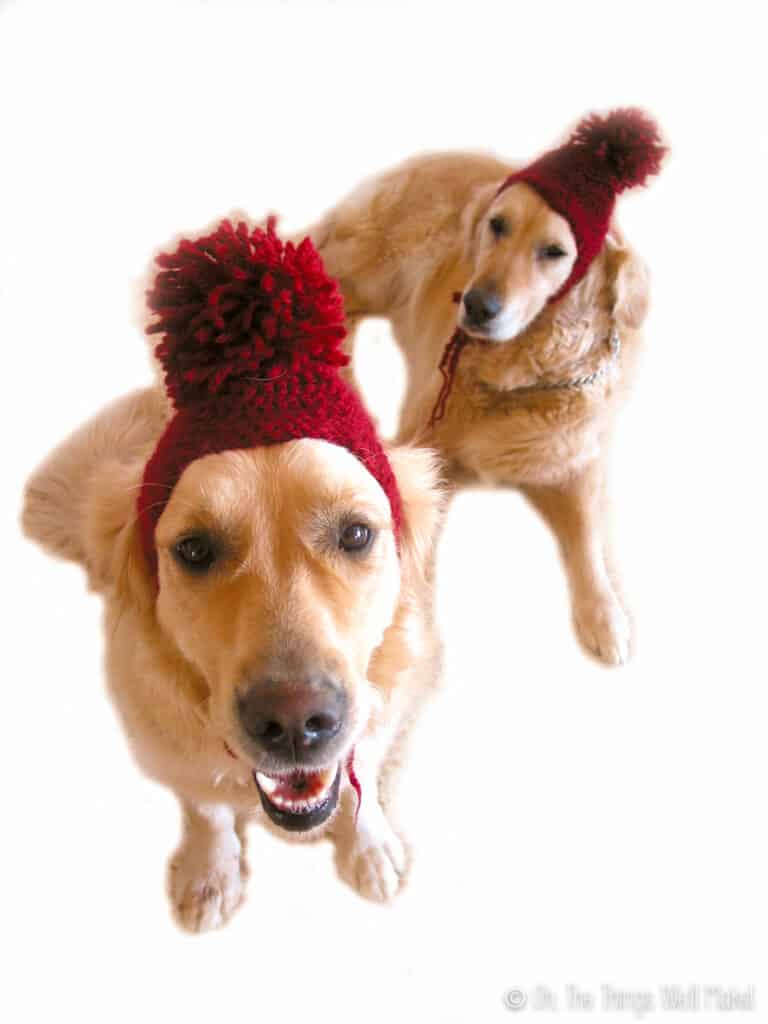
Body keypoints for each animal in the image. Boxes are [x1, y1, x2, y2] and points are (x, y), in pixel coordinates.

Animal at [20, 222, 444, 929]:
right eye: (194, 549)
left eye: (355, 534)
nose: (296, 724)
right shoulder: (172, 745)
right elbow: (208, 809)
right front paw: (209, 872)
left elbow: (362, 783)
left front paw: (370, 845)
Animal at [309, 112, 663, 663]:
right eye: (498, 226)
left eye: (554, 252)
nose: (476, 305)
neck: (522, 377)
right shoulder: (428, 446)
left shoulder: (576, 466)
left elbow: (589, 542)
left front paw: (605, 616)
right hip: (381, 265)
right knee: (329, 286)